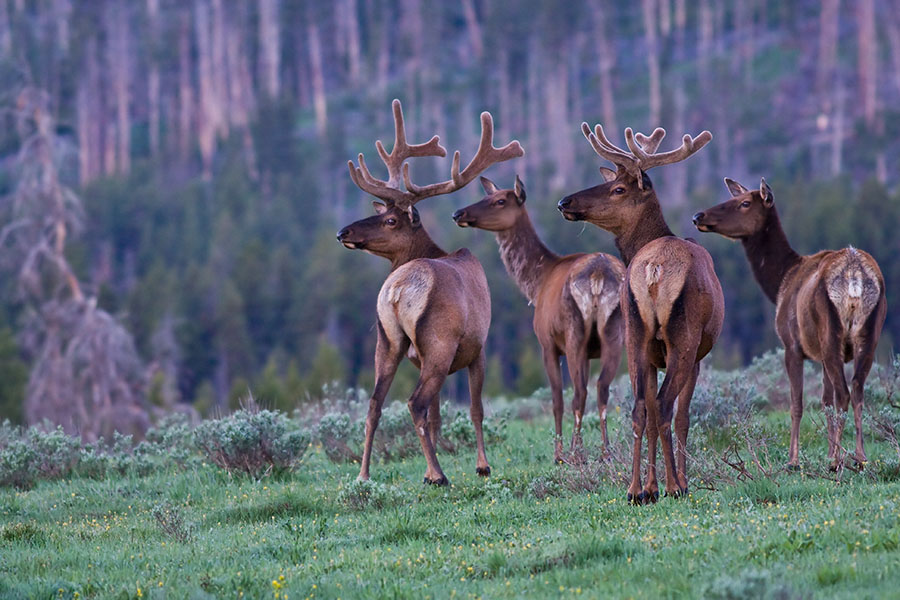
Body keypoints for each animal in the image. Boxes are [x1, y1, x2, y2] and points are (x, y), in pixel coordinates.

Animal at [338, 98, 524, 482]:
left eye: (389, 220)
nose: (343, 232)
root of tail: (396, 291)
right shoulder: (478, 346)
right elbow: (476, 409)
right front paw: (481, 465)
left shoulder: (423, 355)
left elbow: (438, 416)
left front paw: (428, 467)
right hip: (439, 342)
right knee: (414, 402)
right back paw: (439, 475)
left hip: (387, 341)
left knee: (375, 404)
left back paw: (364, 474)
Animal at [454, 176, 624, 462]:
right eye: (488, 195)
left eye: (500, 200)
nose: (459, 213)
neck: (537, 284)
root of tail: (598, 276)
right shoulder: (590, 352)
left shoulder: (547, 343)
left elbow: (556, 399)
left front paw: (558, 454)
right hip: (615, 330)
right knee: (602, 388)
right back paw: (606, 453)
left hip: (574, 331)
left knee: (579, 393)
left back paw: (574, 454)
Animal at [556, 122, 724, 502]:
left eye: (618, 188)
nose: (564, 202)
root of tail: (654, 269)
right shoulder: (699, 355)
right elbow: (683, 417)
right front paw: (678, 481)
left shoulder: (649, 351)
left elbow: (646, 412)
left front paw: (650, 487)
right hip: (683, 337)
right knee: (663, 406)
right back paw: (675, 486)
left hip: (635, 334)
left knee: (639, 408)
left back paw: (634, 491)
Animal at [692, 177, 888, 468]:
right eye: (735, 198)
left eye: (744, 203)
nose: (698, 216)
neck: (780, 283)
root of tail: (855, 276)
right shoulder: (821, 354)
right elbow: (825, 401)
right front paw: (828, 451)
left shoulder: (791, 344)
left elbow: (797, 403)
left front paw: (794, 459)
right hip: (869, 334)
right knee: (857, 390)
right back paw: (860, 458)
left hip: (831, 334)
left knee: (844, 393)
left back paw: (837, 462)